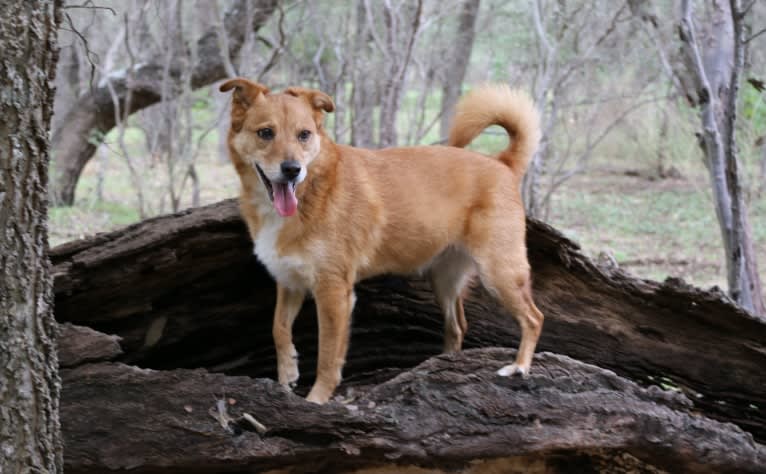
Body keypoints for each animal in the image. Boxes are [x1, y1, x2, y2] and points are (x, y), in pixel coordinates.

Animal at [220, 78, 544, 404]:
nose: (292, 170)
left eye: (304, 135)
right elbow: (278, 328)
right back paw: (441, 363)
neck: (312, 190)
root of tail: (502, 163)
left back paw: (519, 366)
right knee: (457, 327)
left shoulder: (334, 292)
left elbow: (328, 356)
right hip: (444, 280)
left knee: (533, 318)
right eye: (266, 133)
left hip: (499, 273)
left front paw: (317, 399)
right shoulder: (290, 282)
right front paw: (288, 373)